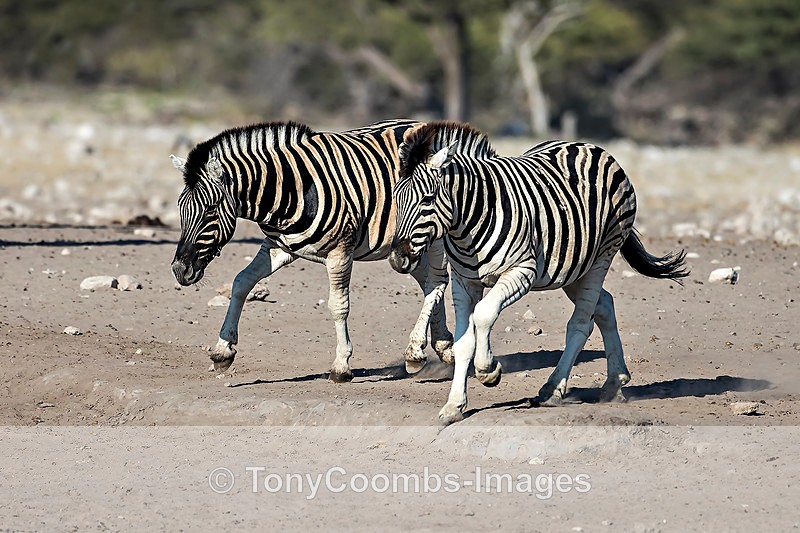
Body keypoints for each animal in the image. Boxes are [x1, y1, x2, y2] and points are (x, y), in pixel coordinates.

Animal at [169, 119, 454, 382]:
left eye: (210, 210)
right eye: (181, 209)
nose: (179, 270)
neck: (289, 189)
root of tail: (421, 124)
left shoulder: (341, 252)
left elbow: (338, 305)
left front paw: (341, 366)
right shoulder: (278, 247)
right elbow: (241, 282)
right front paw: (222, 350)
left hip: (430, 235)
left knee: (438, 280)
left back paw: (417, 352)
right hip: (405, 251)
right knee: (428, 282)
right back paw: (441, 346)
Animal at [388, 122, 688, 425]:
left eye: (427, 199)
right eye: (395, 197)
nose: (397, 258)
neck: (467, 224)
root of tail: (589, 146)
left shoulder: (522, 272)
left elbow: (484, 314)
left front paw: (489, 370)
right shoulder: (464, 282)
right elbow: (464, 343)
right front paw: (454, 406)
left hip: (601, 258)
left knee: (581, 324)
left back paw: (554, 388)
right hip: (574, 269)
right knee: (604, 305)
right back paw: (614, 383)